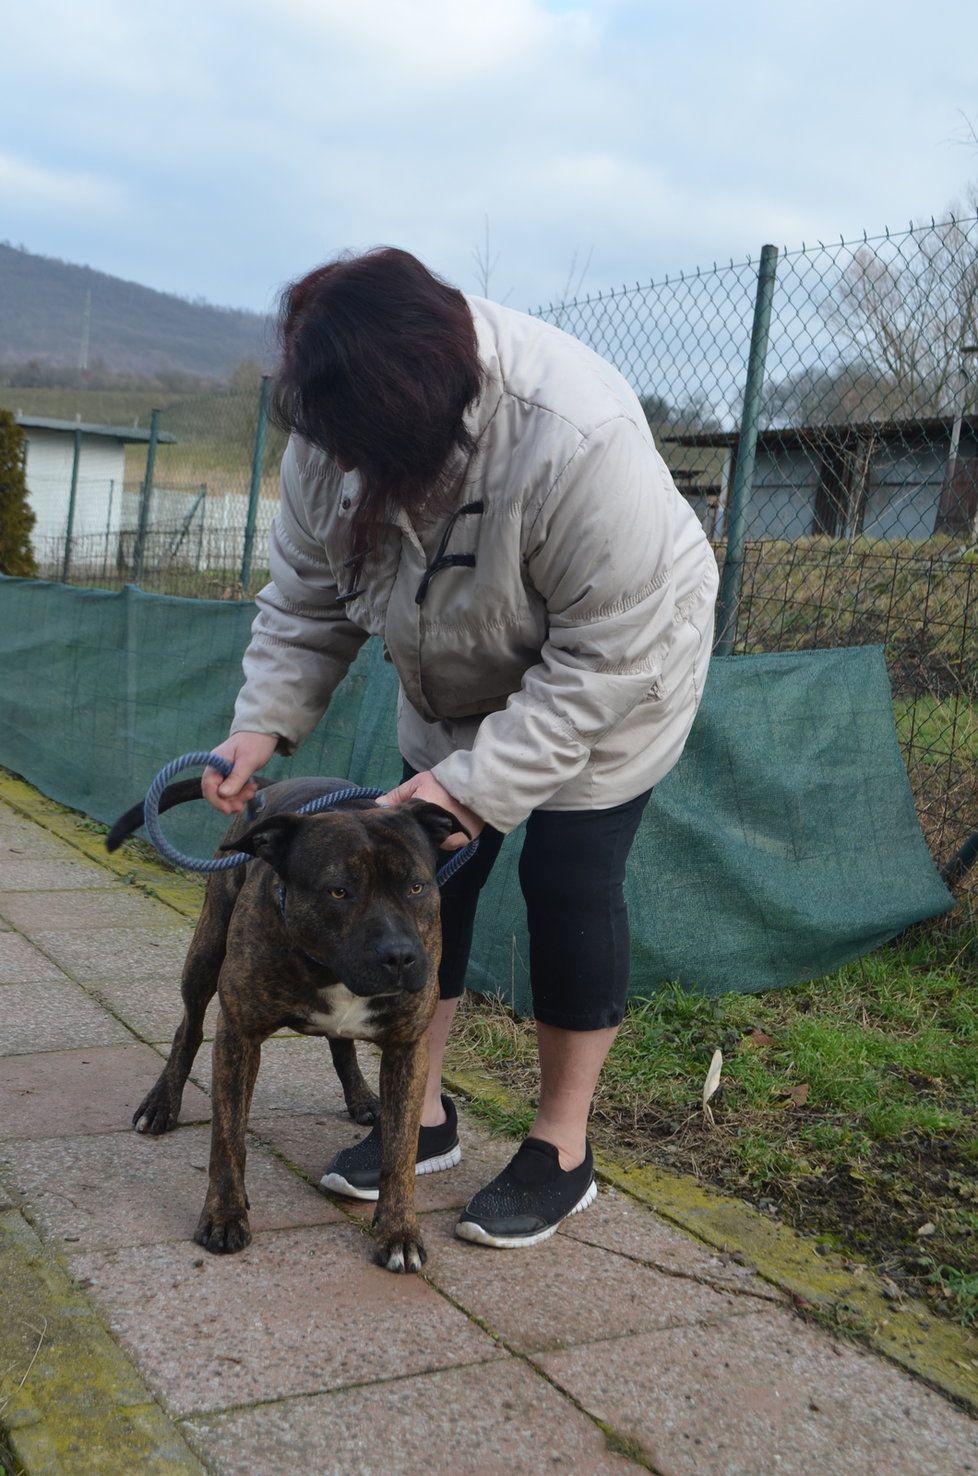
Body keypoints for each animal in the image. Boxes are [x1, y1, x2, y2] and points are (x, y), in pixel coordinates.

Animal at [106, 779, 460, 1275]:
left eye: (416, 886)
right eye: (338, 892)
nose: (400, 956)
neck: (328, 967)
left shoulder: (408, 1047)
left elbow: (400, 1151)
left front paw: (399, 1231)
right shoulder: (238, 1034)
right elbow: (228, 1138)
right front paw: (224, 1216)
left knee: (341, 1045)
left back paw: (361, 1097)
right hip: (205, 953)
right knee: (188, 1029)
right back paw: (161, 1103)